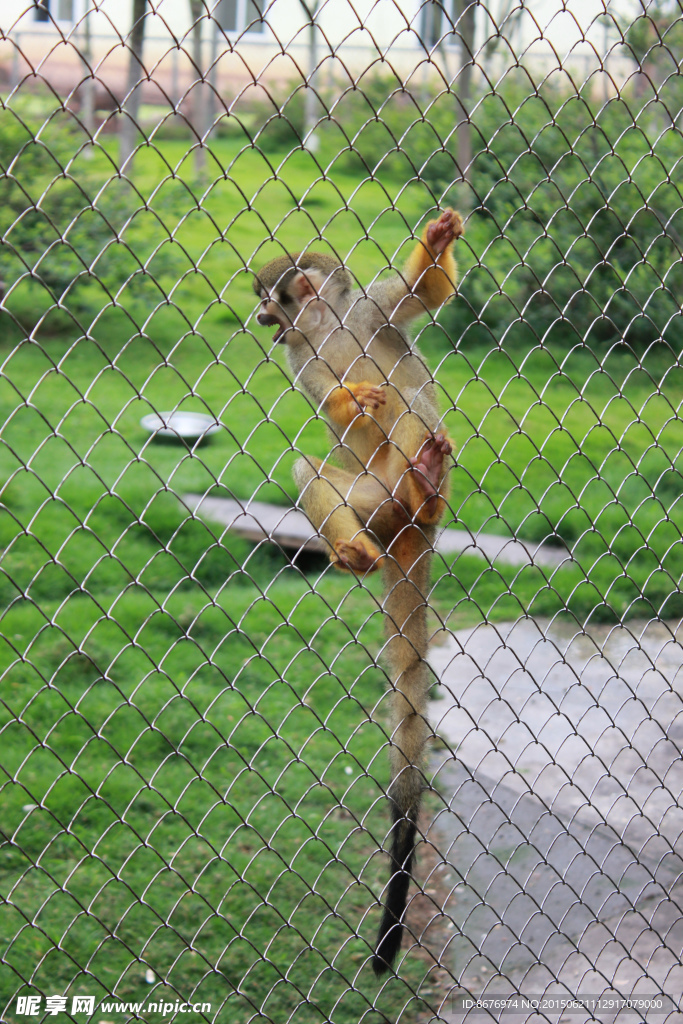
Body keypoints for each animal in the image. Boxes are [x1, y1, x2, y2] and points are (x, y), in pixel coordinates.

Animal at [252, 205, 464, 974]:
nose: (261, 319)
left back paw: (426, 486)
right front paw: (346, 398)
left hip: (410, 470)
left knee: (411, 412)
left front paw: (436, 243)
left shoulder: (368, 310)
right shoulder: (299, 359)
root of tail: (404, 531)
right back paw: (351, 546)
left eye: (270, 303)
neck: (325, 327)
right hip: (367, 501)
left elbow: (418, 300)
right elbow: (329, 403)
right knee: (312, 463)